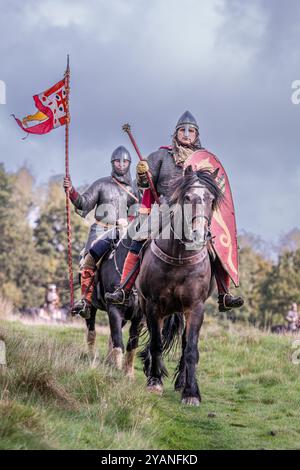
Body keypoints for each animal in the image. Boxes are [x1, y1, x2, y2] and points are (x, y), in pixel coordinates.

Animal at [85, 229, 145, 380]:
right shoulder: (114, 309)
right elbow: (118, 340)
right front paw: (117, 369)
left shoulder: (139, 318)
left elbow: (132, 345)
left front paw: (128, 374)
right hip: (91, 307)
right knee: (91, 330)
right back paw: (91, 356)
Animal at [138, 167, 223, 406]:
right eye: (187, 198)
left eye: (211, 199)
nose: (199, 235)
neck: (179, 258)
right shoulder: (153, 306)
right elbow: (156, 343)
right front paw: (154, 381)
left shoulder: (195, 307)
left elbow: (191, 348)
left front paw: (191, 393)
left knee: (185, 345)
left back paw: (181, 382)